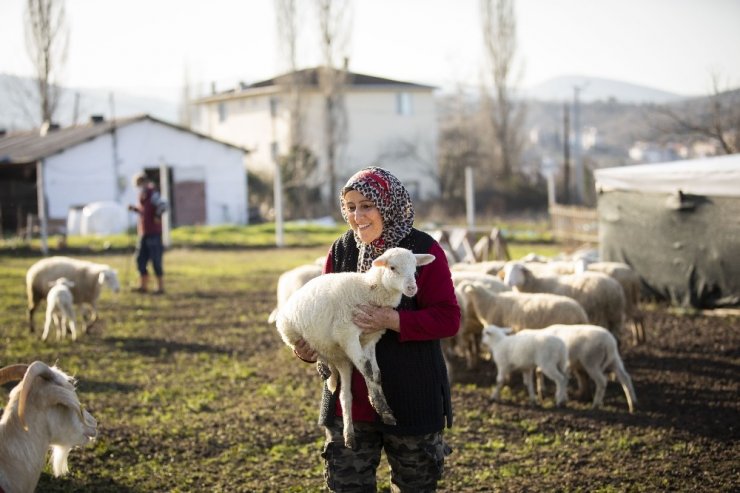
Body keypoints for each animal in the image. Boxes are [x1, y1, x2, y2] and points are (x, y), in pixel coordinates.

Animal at [274, 248, 434, 448]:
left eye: (415, 267)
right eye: (392, 267)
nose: (412, 288)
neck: (368, 289)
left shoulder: (370, 338)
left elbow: (375, 373)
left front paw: (381, 408)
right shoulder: (347, 334)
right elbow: (367, 368)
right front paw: (381, 407)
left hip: (342, 359)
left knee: (344, 396)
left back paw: (349, 434)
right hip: (296, 336)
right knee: (318, 354)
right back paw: (323, 368)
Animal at [500, 264, 628, 340]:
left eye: (519, 270)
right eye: (506, 271)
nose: (507, 282)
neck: (536, 283)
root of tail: (614, 286)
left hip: (602, 314)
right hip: (613, 314)